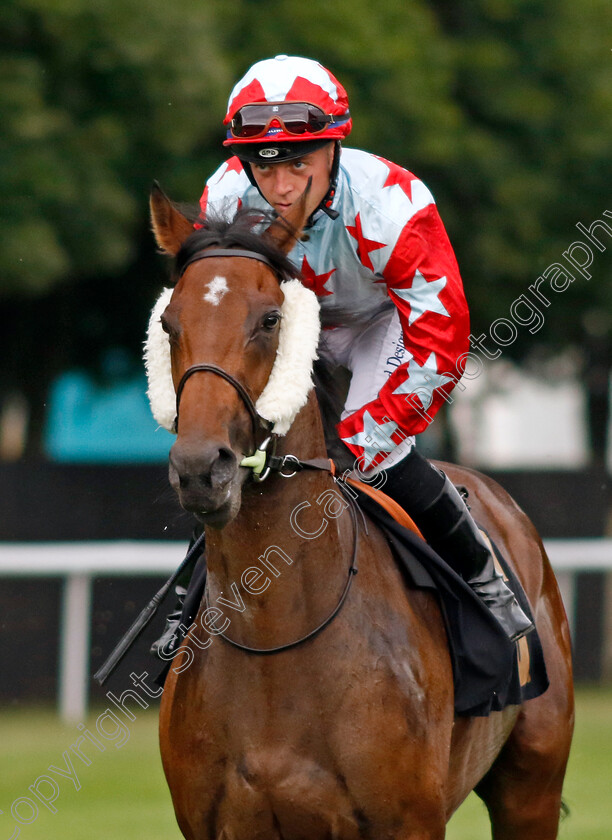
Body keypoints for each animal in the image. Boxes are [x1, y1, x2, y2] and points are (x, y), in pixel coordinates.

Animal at [147, 185, 572, 840]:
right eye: (169, 324)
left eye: (270, 319)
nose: (200, 468)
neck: (277, 641)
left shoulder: (409, 822)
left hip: (533, 788)